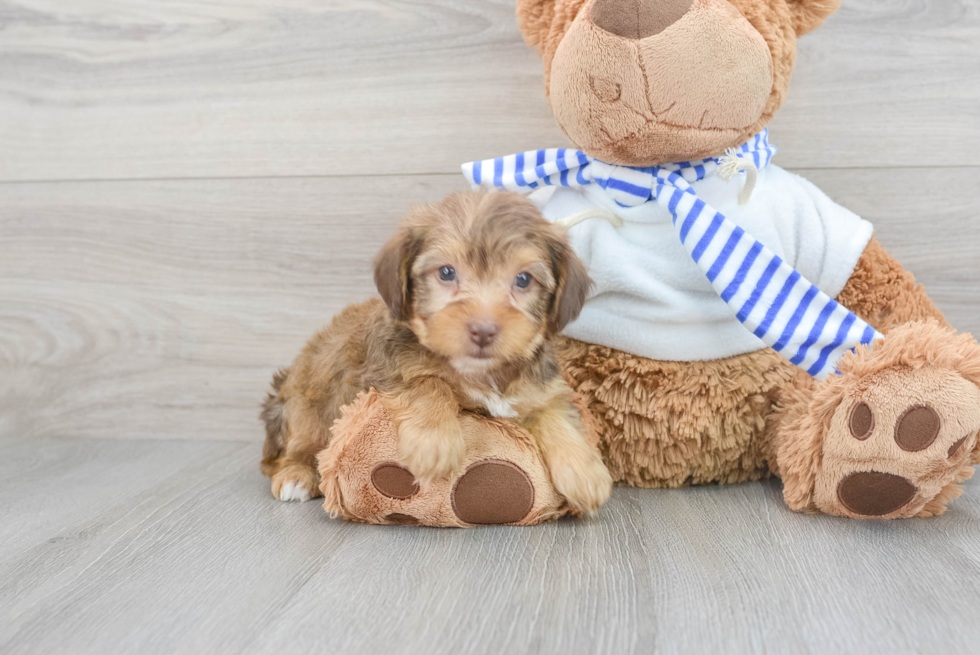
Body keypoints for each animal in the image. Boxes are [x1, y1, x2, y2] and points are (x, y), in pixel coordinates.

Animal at [260, 192, 612, 516]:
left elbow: (557, 415)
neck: (480, 372)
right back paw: (295, 476)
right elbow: (427, 382)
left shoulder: (541, 390)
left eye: (523, 279)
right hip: (309, 406)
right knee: (296, 447)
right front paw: (434, 442)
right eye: (446, 273)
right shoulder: (389, 366)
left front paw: (584, 471)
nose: (483, 330)